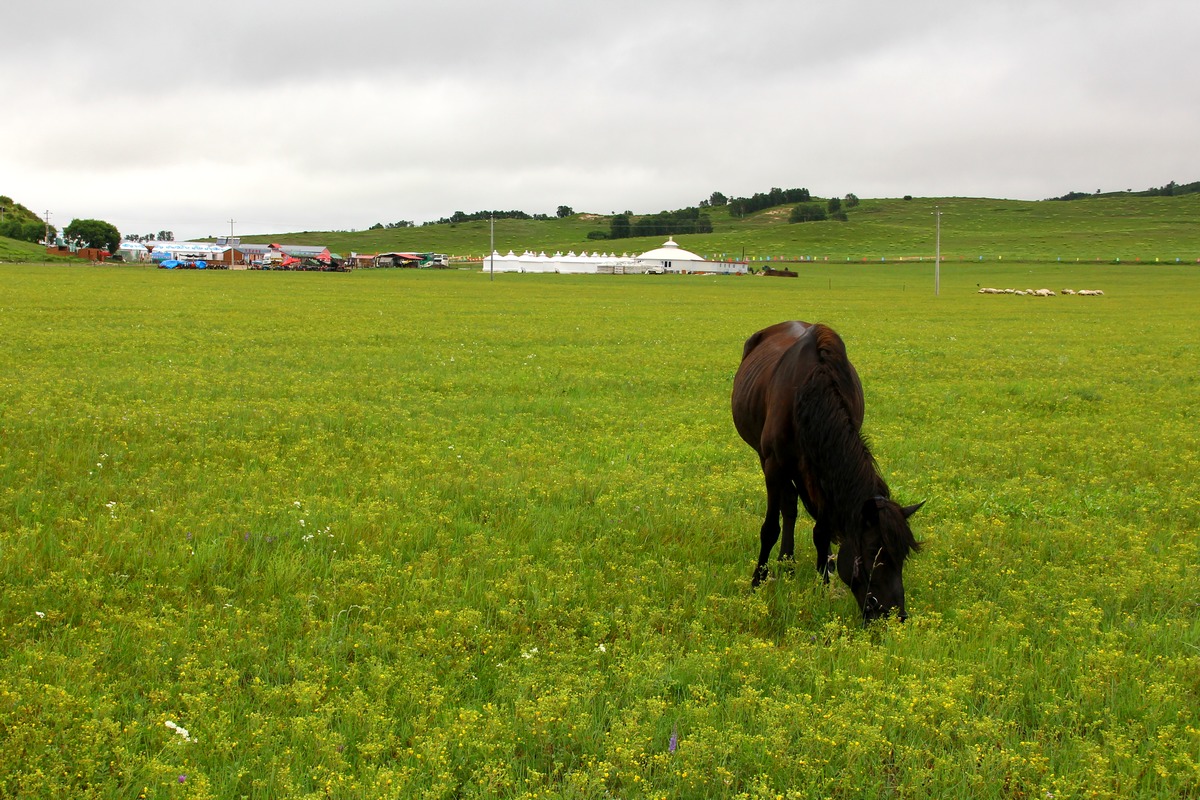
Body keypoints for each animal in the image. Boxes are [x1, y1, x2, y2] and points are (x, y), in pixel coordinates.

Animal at [729, 321, 916, 623]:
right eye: (873, 552)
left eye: (902, 556)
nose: (894, 614)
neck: (809, 395)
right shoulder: (774, 465)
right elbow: (770, 527)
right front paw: (757, 580)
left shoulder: (826, 470)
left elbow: (822, 531)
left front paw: (822, 584)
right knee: (789, 506)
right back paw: (786, 563)